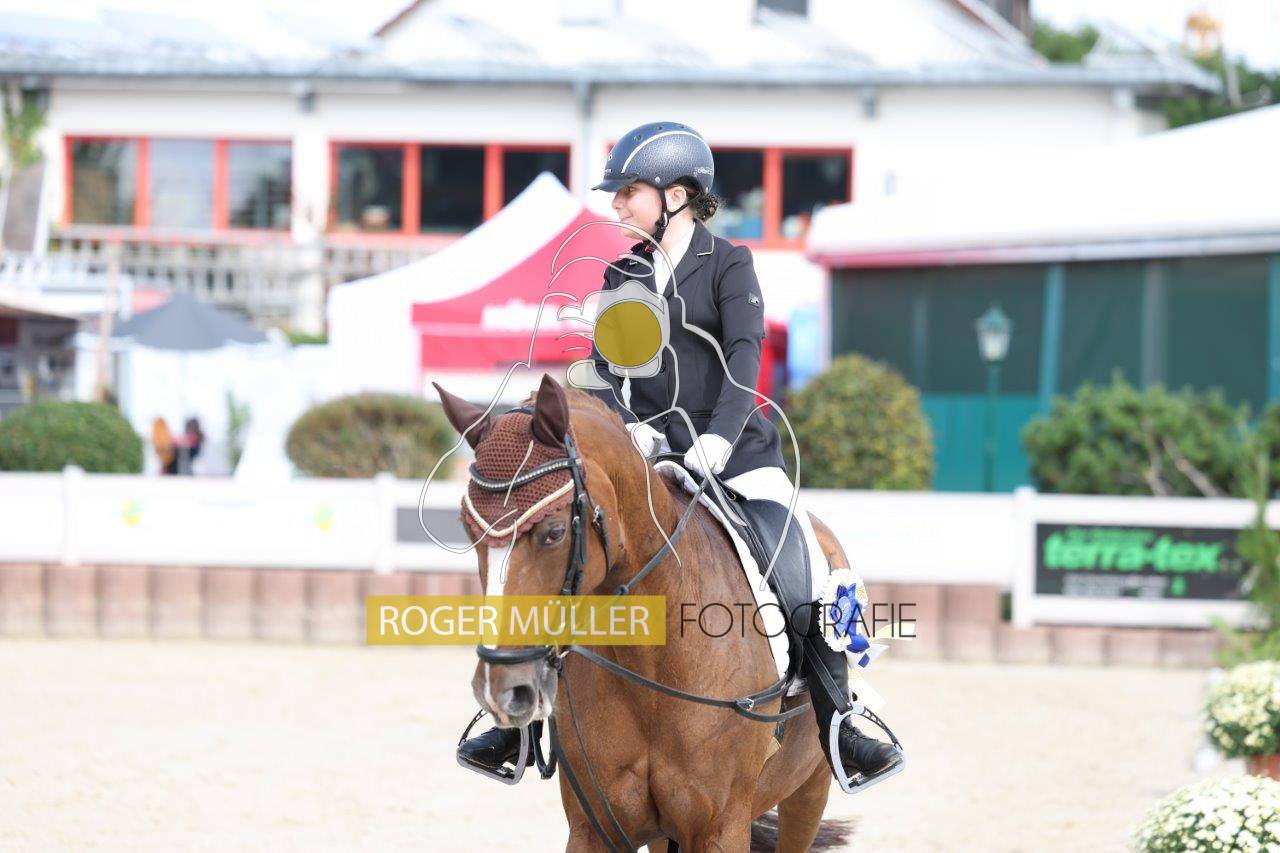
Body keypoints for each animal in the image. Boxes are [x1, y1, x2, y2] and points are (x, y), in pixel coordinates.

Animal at [438, 375, 854, 852]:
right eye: (467, 529)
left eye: (555, 532)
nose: (501, 689)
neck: (654, 658)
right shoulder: (594, 827)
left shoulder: (722, 827)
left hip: (810, 789)